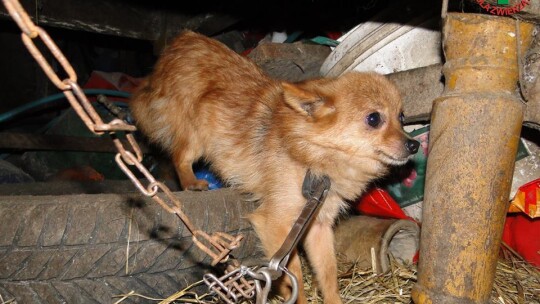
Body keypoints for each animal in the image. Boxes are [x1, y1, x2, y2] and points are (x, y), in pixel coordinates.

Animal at [130, 31, 418, 304]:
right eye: (373, 119)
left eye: (401, 117)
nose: (414, 144)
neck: (313, 159)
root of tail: (184, 40)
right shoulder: (276, 225)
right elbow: (294, 276)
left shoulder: (317, 226)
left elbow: (328, 275)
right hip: (195, 134)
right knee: (180, 156)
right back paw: (191, 182)